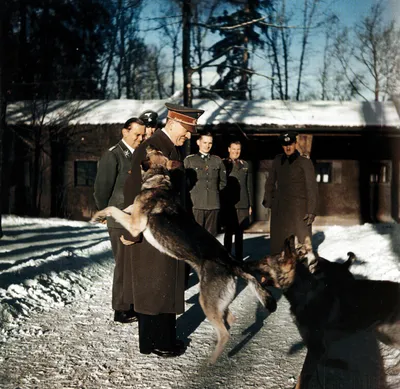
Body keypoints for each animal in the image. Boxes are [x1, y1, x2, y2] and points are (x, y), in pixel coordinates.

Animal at [92, 147, 276, 362]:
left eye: (154, 149)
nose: (146, 145)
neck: (159, 180)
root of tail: (231, 262)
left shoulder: (136, 224)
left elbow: (115, 209)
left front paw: (100, 216)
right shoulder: (134, 217)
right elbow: (123, 208)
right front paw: (109, 219)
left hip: (207, 302)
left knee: (225, 333)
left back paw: (211, 361)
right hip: (218, 302)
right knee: (230, 318)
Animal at [253, 235, 400, 386]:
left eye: (264, 261)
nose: (247, 264)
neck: (306, 291)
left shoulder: (316, 348)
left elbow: (303, 378)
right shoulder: (318, 347)